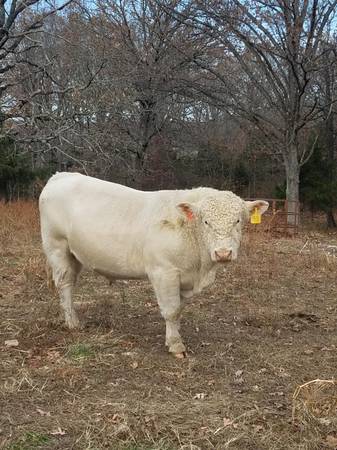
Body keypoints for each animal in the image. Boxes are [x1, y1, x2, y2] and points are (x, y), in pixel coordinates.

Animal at [38, 173, 266, 358]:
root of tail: (61, 175)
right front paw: (176, 345)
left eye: (238, 221)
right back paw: (73, 323)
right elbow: (171, 310)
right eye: (206, 222)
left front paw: (172, 335)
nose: (223, 253)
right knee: (65, 284)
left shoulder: (183, 278)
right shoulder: (164, 272)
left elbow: (179, 309)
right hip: (57, 247)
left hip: (74, 255)